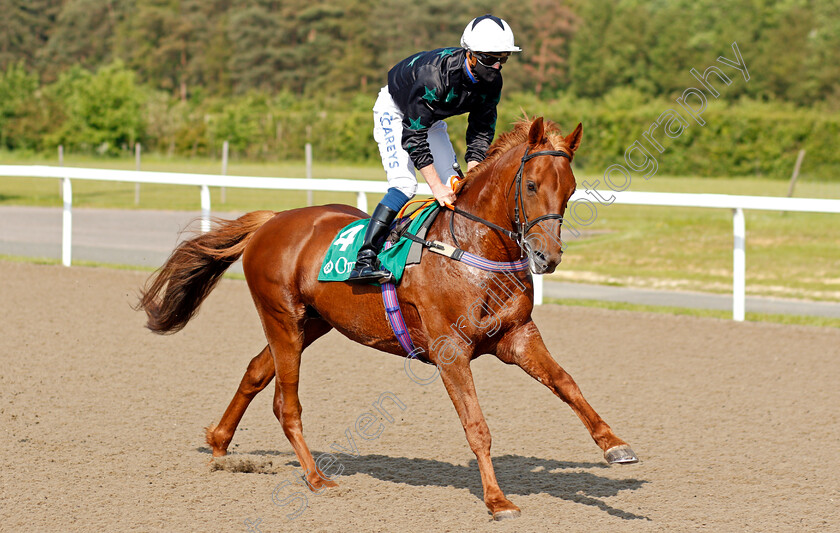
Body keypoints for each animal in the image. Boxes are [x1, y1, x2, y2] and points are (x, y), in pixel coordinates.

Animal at [138, 117, 636, 520]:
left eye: (569, 189)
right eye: (531, 185)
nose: (547, 257)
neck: (472, 248)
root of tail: (273, 219)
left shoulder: (516, 335)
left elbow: (567, 383)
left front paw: (615, 446)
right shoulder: (450, 351)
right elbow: (477, 426)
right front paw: (498, 501)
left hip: (311, 322)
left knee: (257, 372)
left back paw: (221, 444)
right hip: (281, 317)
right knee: (286, 403)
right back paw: (316, 478)